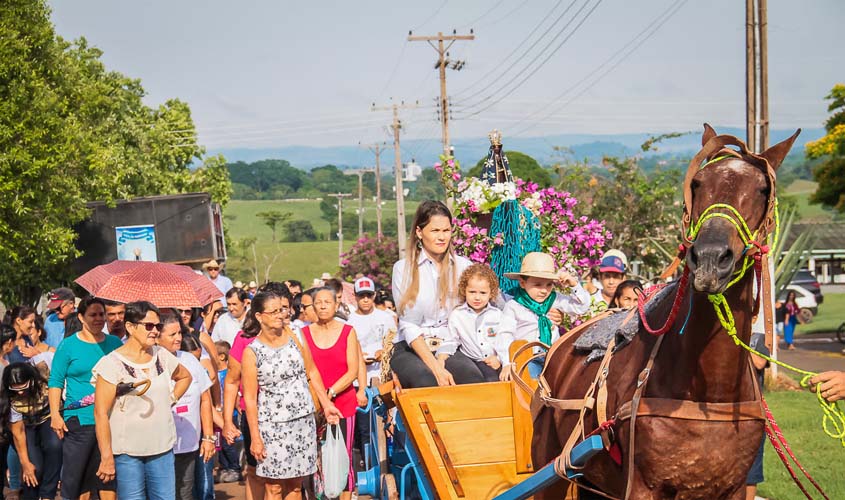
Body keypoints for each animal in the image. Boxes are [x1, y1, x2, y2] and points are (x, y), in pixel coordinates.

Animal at [532, 125, 800, 500]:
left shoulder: (733, 488)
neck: (708, 393)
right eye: (698, 183)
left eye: (762, 189)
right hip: (551, 468)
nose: (710, 258)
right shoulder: (642, 487)